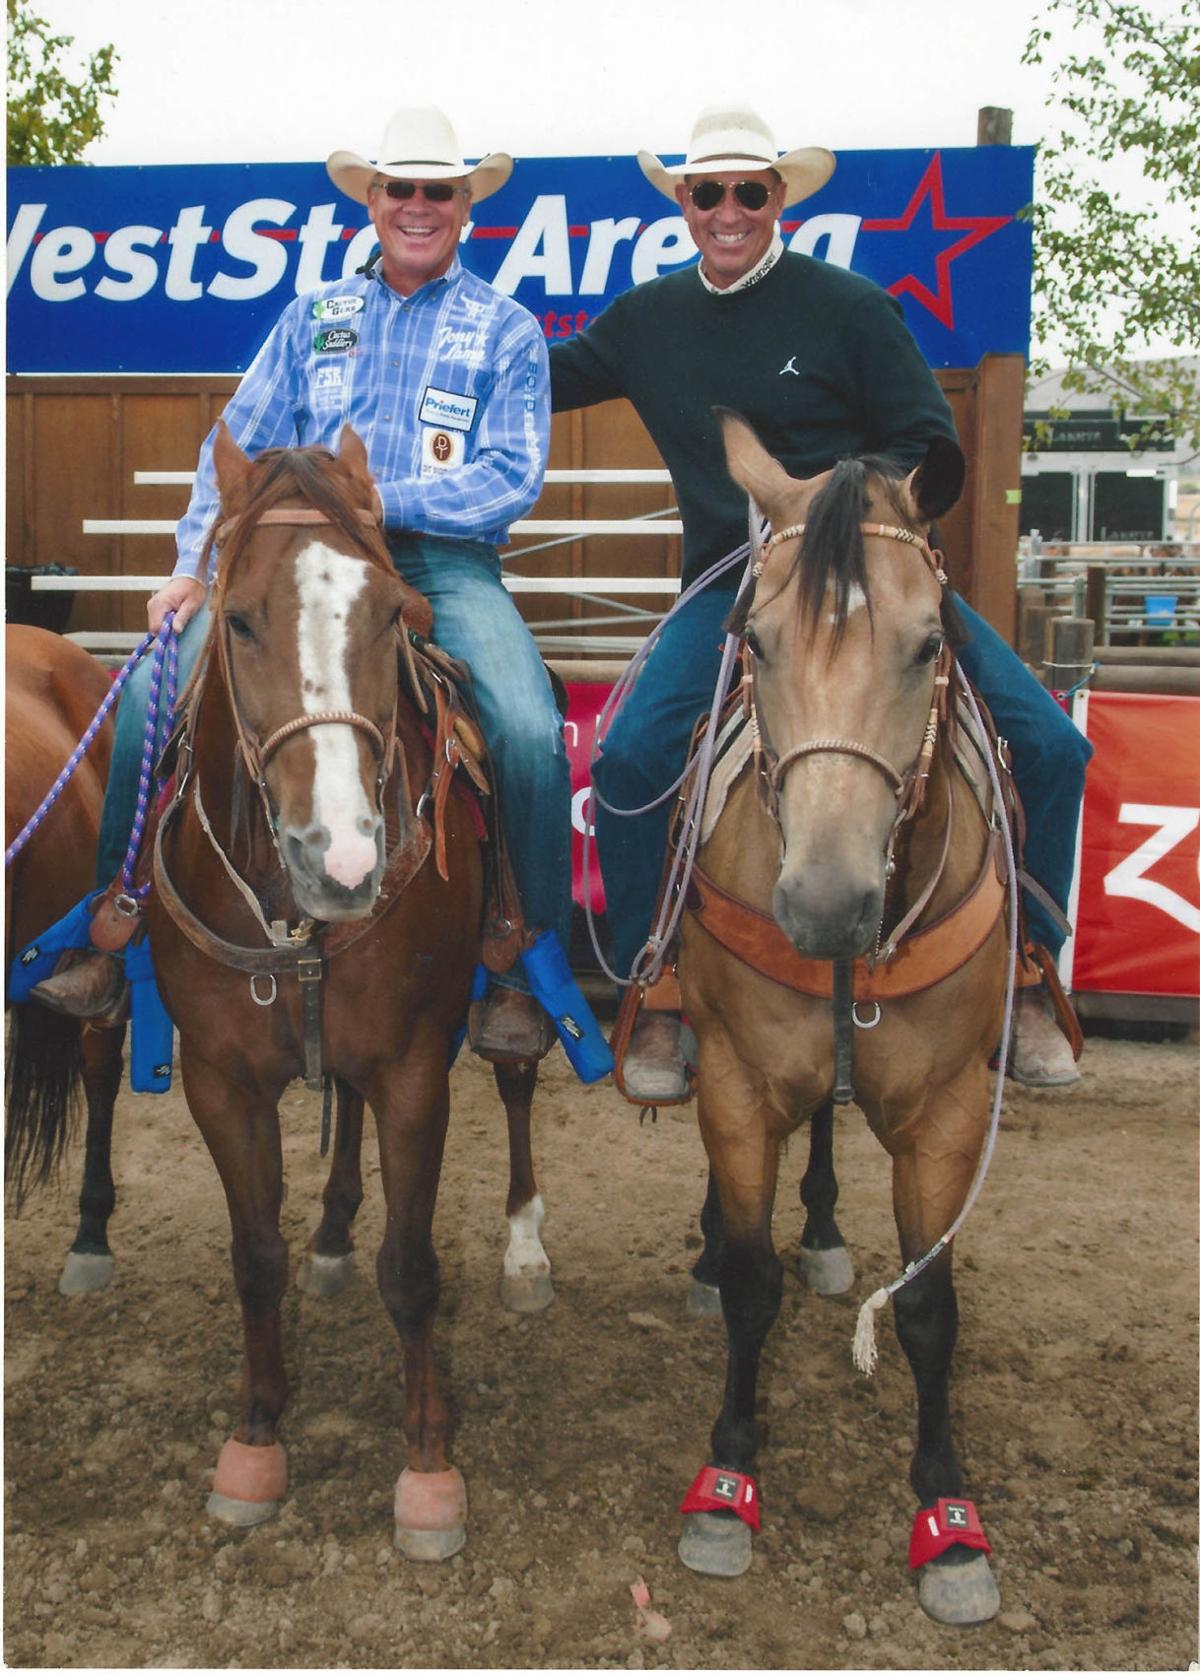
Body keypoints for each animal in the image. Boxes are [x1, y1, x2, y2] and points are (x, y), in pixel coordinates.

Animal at [146, 428, 552, 1553]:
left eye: (394, 615)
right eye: (239, 618)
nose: (343, 858)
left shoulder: (417, 1069)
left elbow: (411, 1273)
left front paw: (428, 1467)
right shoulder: (219, 1081)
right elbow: (254, 1258)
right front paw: (254, 1442)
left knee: (516, 1079)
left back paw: (525, 1244)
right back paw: (331, 1232)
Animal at [672, 415, 1010, 1620]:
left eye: (928, 641)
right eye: (756, 641)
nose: (822, 905)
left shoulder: (951, 1112)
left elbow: (927, 1308)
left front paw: (949, 1519)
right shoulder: (735, 1084)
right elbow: (751, 1283)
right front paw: (729, 1477)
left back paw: (819, 1225)